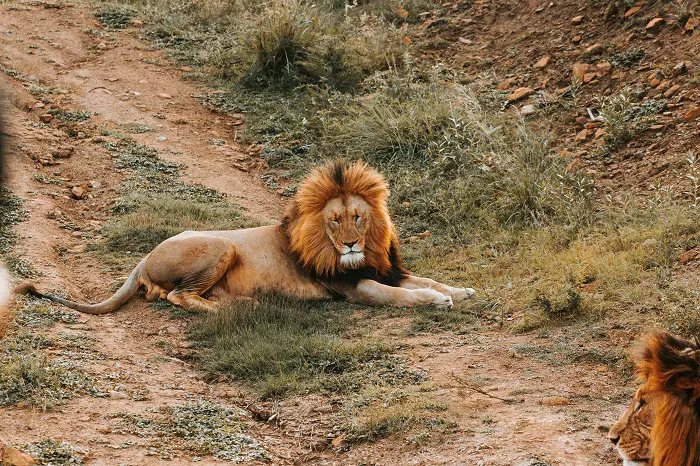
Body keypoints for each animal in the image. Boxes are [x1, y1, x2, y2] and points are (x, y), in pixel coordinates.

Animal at [17, 159, 476, 314]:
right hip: (223, 244)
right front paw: (437, 301)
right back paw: (236, 308)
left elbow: (425, 279)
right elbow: (397, 296)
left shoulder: (386, 268)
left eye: (358, 217)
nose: (349, 244)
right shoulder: (352, 287)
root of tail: (143, 257)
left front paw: (461, 290)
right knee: (177, 297)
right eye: (334, 220)